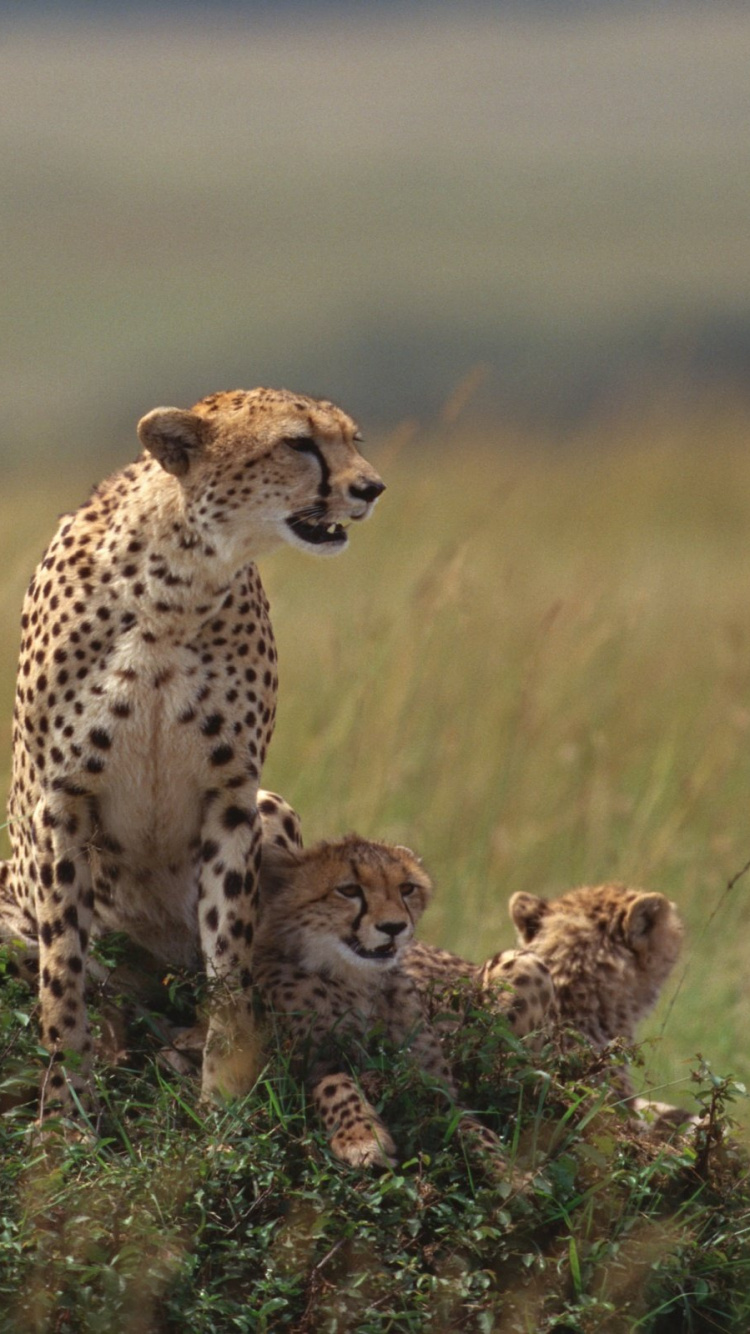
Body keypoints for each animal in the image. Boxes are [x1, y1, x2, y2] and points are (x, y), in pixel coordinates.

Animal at [0, 387, 384, 1117]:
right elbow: (62, 975)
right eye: (298, 443)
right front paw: (66, 1113)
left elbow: (229, 956)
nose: (372, 487)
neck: (176, 586)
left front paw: (224, 1098)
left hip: (273, 807)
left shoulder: (232, 795)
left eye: (352, 439)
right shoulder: (63, 799)